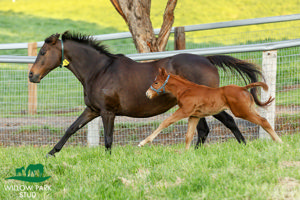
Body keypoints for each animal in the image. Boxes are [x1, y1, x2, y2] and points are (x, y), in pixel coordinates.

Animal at [139, 68, 282, 148]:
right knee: (263, 120)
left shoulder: (184, 111)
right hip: (249, 109)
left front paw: (143, 142)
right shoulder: (194, 115)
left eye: (156, 82)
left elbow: (165, 122)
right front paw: (185, 153)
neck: (185, 90)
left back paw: (279, 141)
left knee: (263, 121)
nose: (147, 94)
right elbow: (189, 135)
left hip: (242, 112)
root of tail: (242, 88)